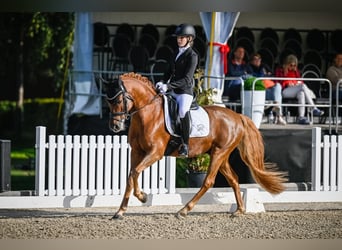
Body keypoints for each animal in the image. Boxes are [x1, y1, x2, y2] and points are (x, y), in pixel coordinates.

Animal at [105, 72, 288, 219]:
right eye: (108, 101)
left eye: (119, 99)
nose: (115, 127)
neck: (148, 114)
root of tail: (237, 116)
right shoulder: (136, 152)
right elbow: (130, 176)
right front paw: (120, 211)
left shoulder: (155, 153)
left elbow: (135, 172)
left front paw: (142, 196)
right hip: (220, 155)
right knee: (234, 179)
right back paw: (239, 210)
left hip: (219, 153)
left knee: (208, 181)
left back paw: (184, 210)